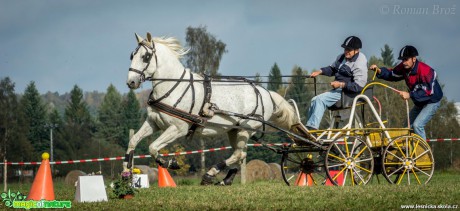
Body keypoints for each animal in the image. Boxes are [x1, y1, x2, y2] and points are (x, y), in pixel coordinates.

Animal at [125, 32, 298, 185]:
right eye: (132, 55)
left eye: (145, 57)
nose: (131, 82)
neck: (173, 87)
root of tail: (266, 93)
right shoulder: (153, 123)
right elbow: (133, 141)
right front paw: (126, 173)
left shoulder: (178, 128)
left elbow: (153, 147)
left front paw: (169, 163)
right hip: (234, 131)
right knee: (240, 154)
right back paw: (225, 180)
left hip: (245, 130)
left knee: (238, 154)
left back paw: (210, 174)